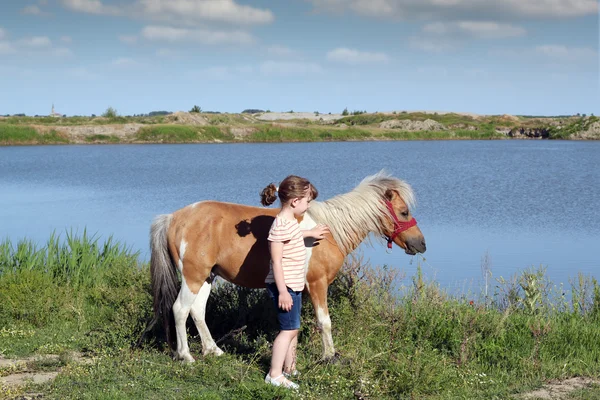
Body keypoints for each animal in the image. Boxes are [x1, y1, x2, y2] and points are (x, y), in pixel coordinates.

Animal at [150, 172, 426, 362]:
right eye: (404, 211)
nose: (421, 244)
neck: (329, 231)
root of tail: (174, 218)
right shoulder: (317, 284)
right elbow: (324, 321)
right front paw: (329, 356)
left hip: (207, 277)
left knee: (197, 311)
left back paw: (213, 350)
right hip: (193, 277)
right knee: (180, 310)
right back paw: (186, 356)